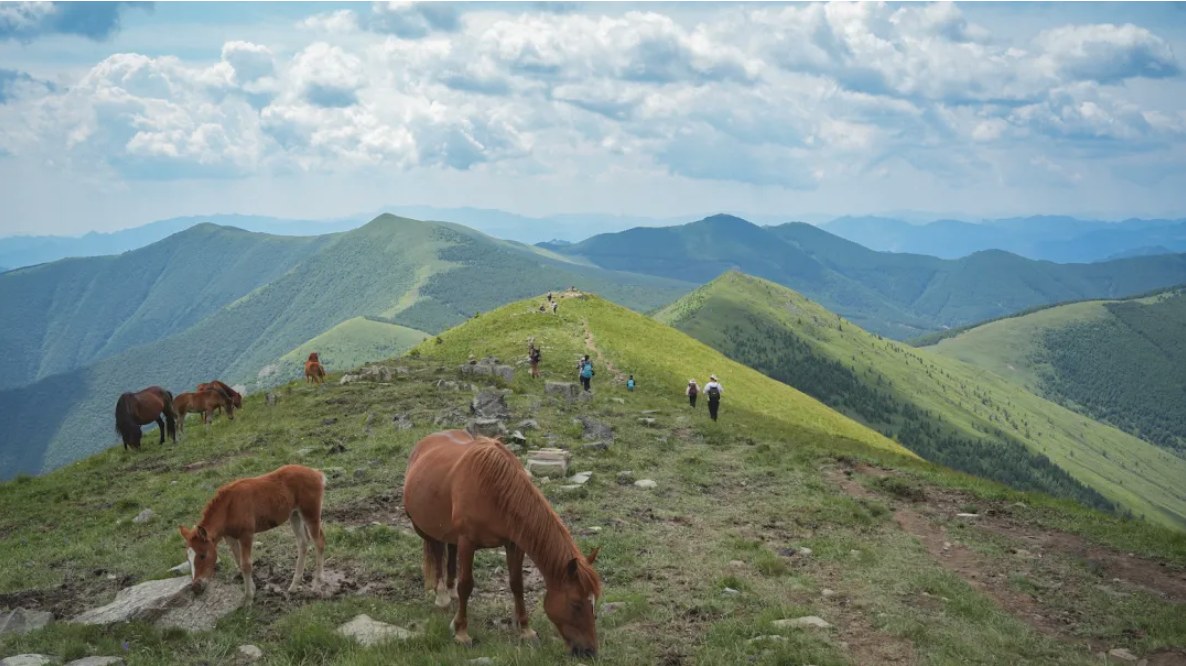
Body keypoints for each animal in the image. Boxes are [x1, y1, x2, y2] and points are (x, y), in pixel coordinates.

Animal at [179, 464, 326, 605]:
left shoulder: (246, 535)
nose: (196, 587)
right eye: (187, 558)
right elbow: (239, 562)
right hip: (294, 515)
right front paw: (253, 589)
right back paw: (294, 586)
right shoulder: (230, 537)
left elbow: (246, 564)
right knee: (303, 542)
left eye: (203, 555)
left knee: (319, 542)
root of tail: (317, 473)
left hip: (311, 513)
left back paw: (316, 585)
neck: (229, 508)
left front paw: (249, 598)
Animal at [403, 430, 601, 657]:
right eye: (576, 604)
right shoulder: (467, 541)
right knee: (436, 553)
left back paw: (450, 592)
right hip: (422, 526)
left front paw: (526, 631)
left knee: (450, 551)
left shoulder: (514, 544)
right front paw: (462, 633)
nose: (589, 651)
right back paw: (443, 596)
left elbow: (517, 584)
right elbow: (466, 585)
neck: (493, 489)